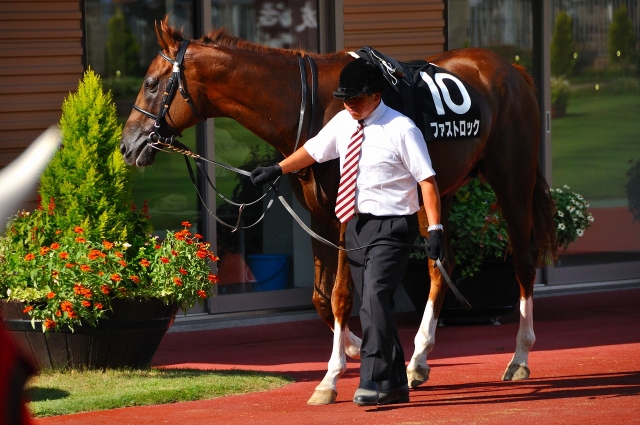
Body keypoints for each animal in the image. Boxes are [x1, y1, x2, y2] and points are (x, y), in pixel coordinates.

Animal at [120, 18, 557, 405]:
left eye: (151, 83)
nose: (128, 145)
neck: (307, 104)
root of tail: (513, 69)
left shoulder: (347, 216)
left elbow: (341, 296)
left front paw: (330, 377)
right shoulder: (320, 217)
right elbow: (319, 297)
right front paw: (357, 347)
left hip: (512, 181)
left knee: (523, 261)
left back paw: (519, 357)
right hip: (438, 188)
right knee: (441, 263)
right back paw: (418, 360)